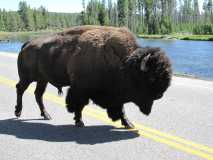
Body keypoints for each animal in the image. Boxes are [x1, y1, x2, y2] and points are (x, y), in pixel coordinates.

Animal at [14, 25, 171, 129]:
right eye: (151, 78)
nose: (160, 95)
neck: (125, 62)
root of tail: (27, 44)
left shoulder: (116, 94)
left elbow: (121, 108)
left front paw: (128, 123)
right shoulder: (80, 89)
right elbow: (79, 105)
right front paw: (79, 122)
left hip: (42, 80)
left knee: (38, 95)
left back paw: (46, 115)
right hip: (27, 78)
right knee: (20, 89)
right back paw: (18, 112)